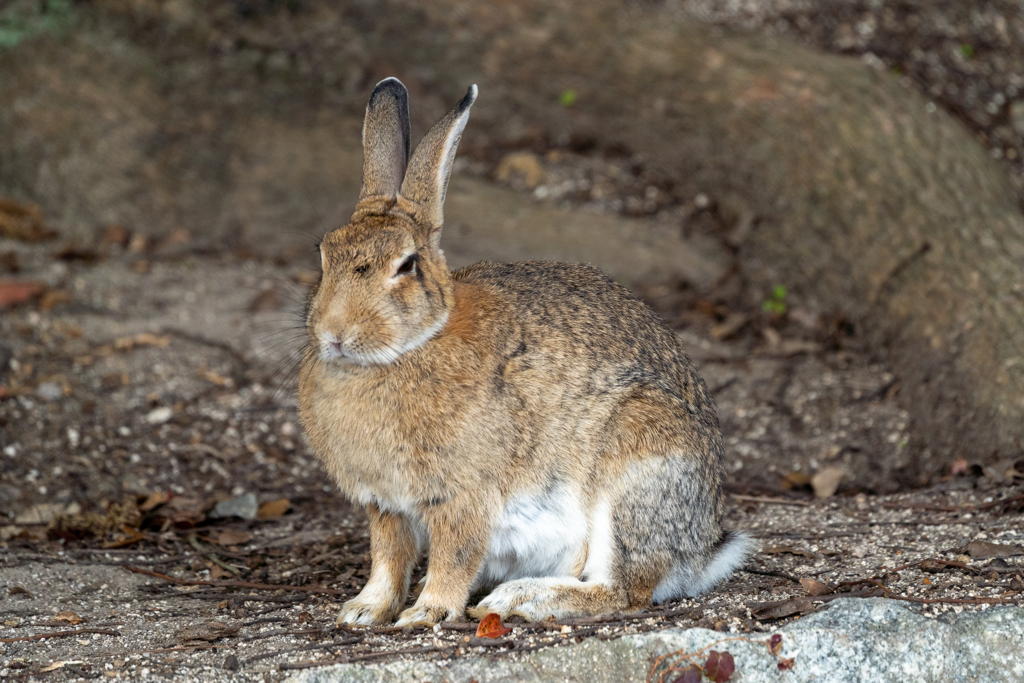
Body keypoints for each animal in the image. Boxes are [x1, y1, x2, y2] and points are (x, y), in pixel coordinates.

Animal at [296, 77, 753, 626]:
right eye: (325, 255)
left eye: (406, 266)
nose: (335, 333)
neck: (413, 345)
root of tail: (701, 553)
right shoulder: (386, 506)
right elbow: (388, 558)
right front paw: (365, 611)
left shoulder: (464, 497)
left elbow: (454, 557)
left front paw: (427, 613)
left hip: (636, 468)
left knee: (622, 590)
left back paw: (523, 599)